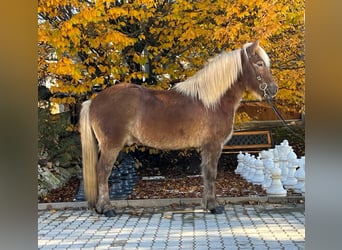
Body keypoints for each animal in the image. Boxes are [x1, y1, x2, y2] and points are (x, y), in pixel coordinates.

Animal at [79, 40, 278, 216]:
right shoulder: (213, 146)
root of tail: (94, 101)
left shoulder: (206, 148)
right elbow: (212, 174)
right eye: (259, 64)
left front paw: (207, 204)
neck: (212, 101)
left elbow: (206, 174)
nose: (273, 89)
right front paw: (214, 206)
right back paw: (107, 209)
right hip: (111, 146)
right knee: (103, 172)